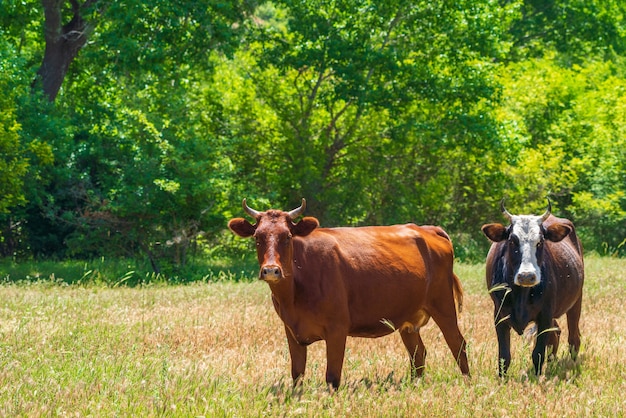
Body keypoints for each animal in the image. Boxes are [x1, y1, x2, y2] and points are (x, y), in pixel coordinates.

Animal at [227, 199, 466, 388]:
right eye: (257, 237)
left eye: (287, 237)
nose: (271, 270)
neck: (293, 296)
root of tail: (426, 229)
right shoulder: (291, 330)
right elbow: (297, 375)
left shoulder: (337, 328)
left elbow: (332, 377)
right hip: (408, 320)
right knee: (418, 354)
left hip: (443, 304)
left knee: (458, 344)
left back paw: (467, 383)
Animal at [480, 201, 584, 378]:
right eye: (512, 241)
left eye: (540, 242)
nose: (527, 276)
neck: (520, 294)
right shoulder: (499, 316)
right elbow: (504, 356)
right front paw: (502, 380)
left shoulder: (545, 315)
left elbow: (538, 353)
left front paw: (536, 378)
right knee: (556, 333)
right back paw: (552, 361)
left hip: (576, 302)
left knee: (573, 338)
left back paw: (572, 364)